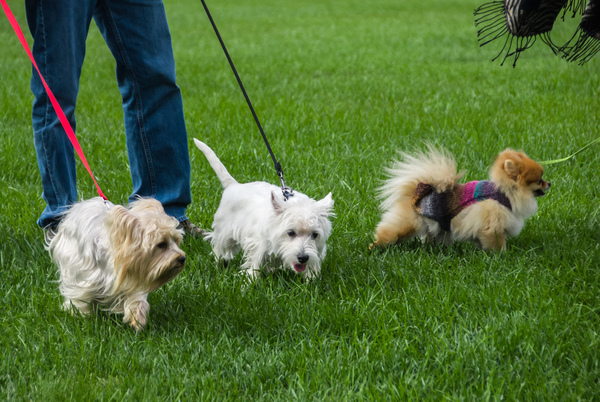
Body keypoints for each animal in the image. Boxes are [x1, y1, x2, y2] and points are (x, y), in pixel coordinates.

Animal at [370, 144, 552, 251]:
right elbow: (497, 244)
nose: (549, 183)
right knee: (389, 232)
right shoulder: (493, 225)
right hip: (407, 223)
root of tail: (415, 191)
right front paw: (500, 256)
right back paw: (375, 247)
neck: (505, 192)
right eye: (539, 180)